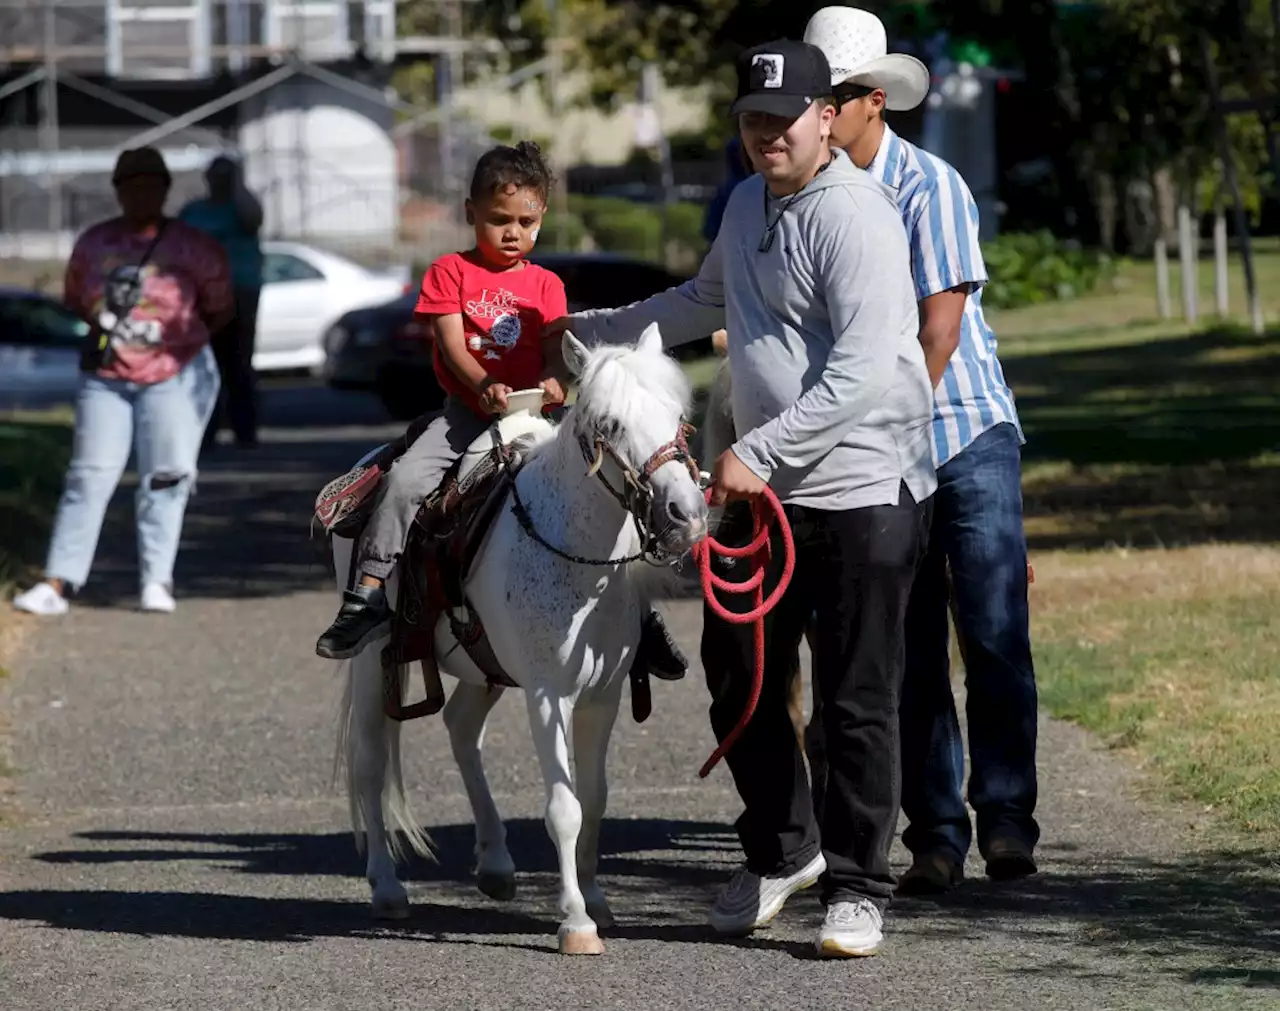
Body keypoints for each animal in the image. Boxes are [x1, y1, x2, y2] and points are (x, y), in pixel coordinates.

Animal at [330, 326, 711, 957]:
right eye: (609, 424)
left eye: (679, 416)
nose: (686, 514)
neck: (574, 550)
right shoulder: (546, 694)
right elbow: (564, 808)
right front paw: (575, 922)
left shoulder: (603, 696)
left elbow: (595, 797)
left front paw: (598, 901)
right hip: (368, 661)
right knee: (370, 761)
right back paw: (386, 887)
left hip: (484, 668)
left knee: (461, 729)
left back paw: (496, 864)